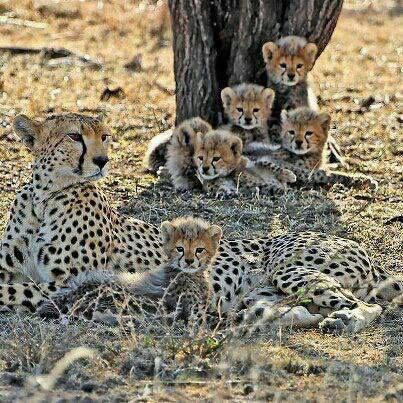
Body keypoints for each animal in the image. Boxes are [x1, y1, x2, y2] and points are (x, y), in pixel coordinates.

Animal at [0, 112, 400, 332]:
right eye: (74, 136)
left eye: (105, 136)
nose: (102, 161)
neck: (44, 198)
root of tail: (361, 248)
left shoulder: (68, 284)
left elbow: (17, 292)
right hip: (260, 297)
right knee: (290, 310)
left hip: (291, 270)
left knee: (367, 304)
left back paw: (346, 320)